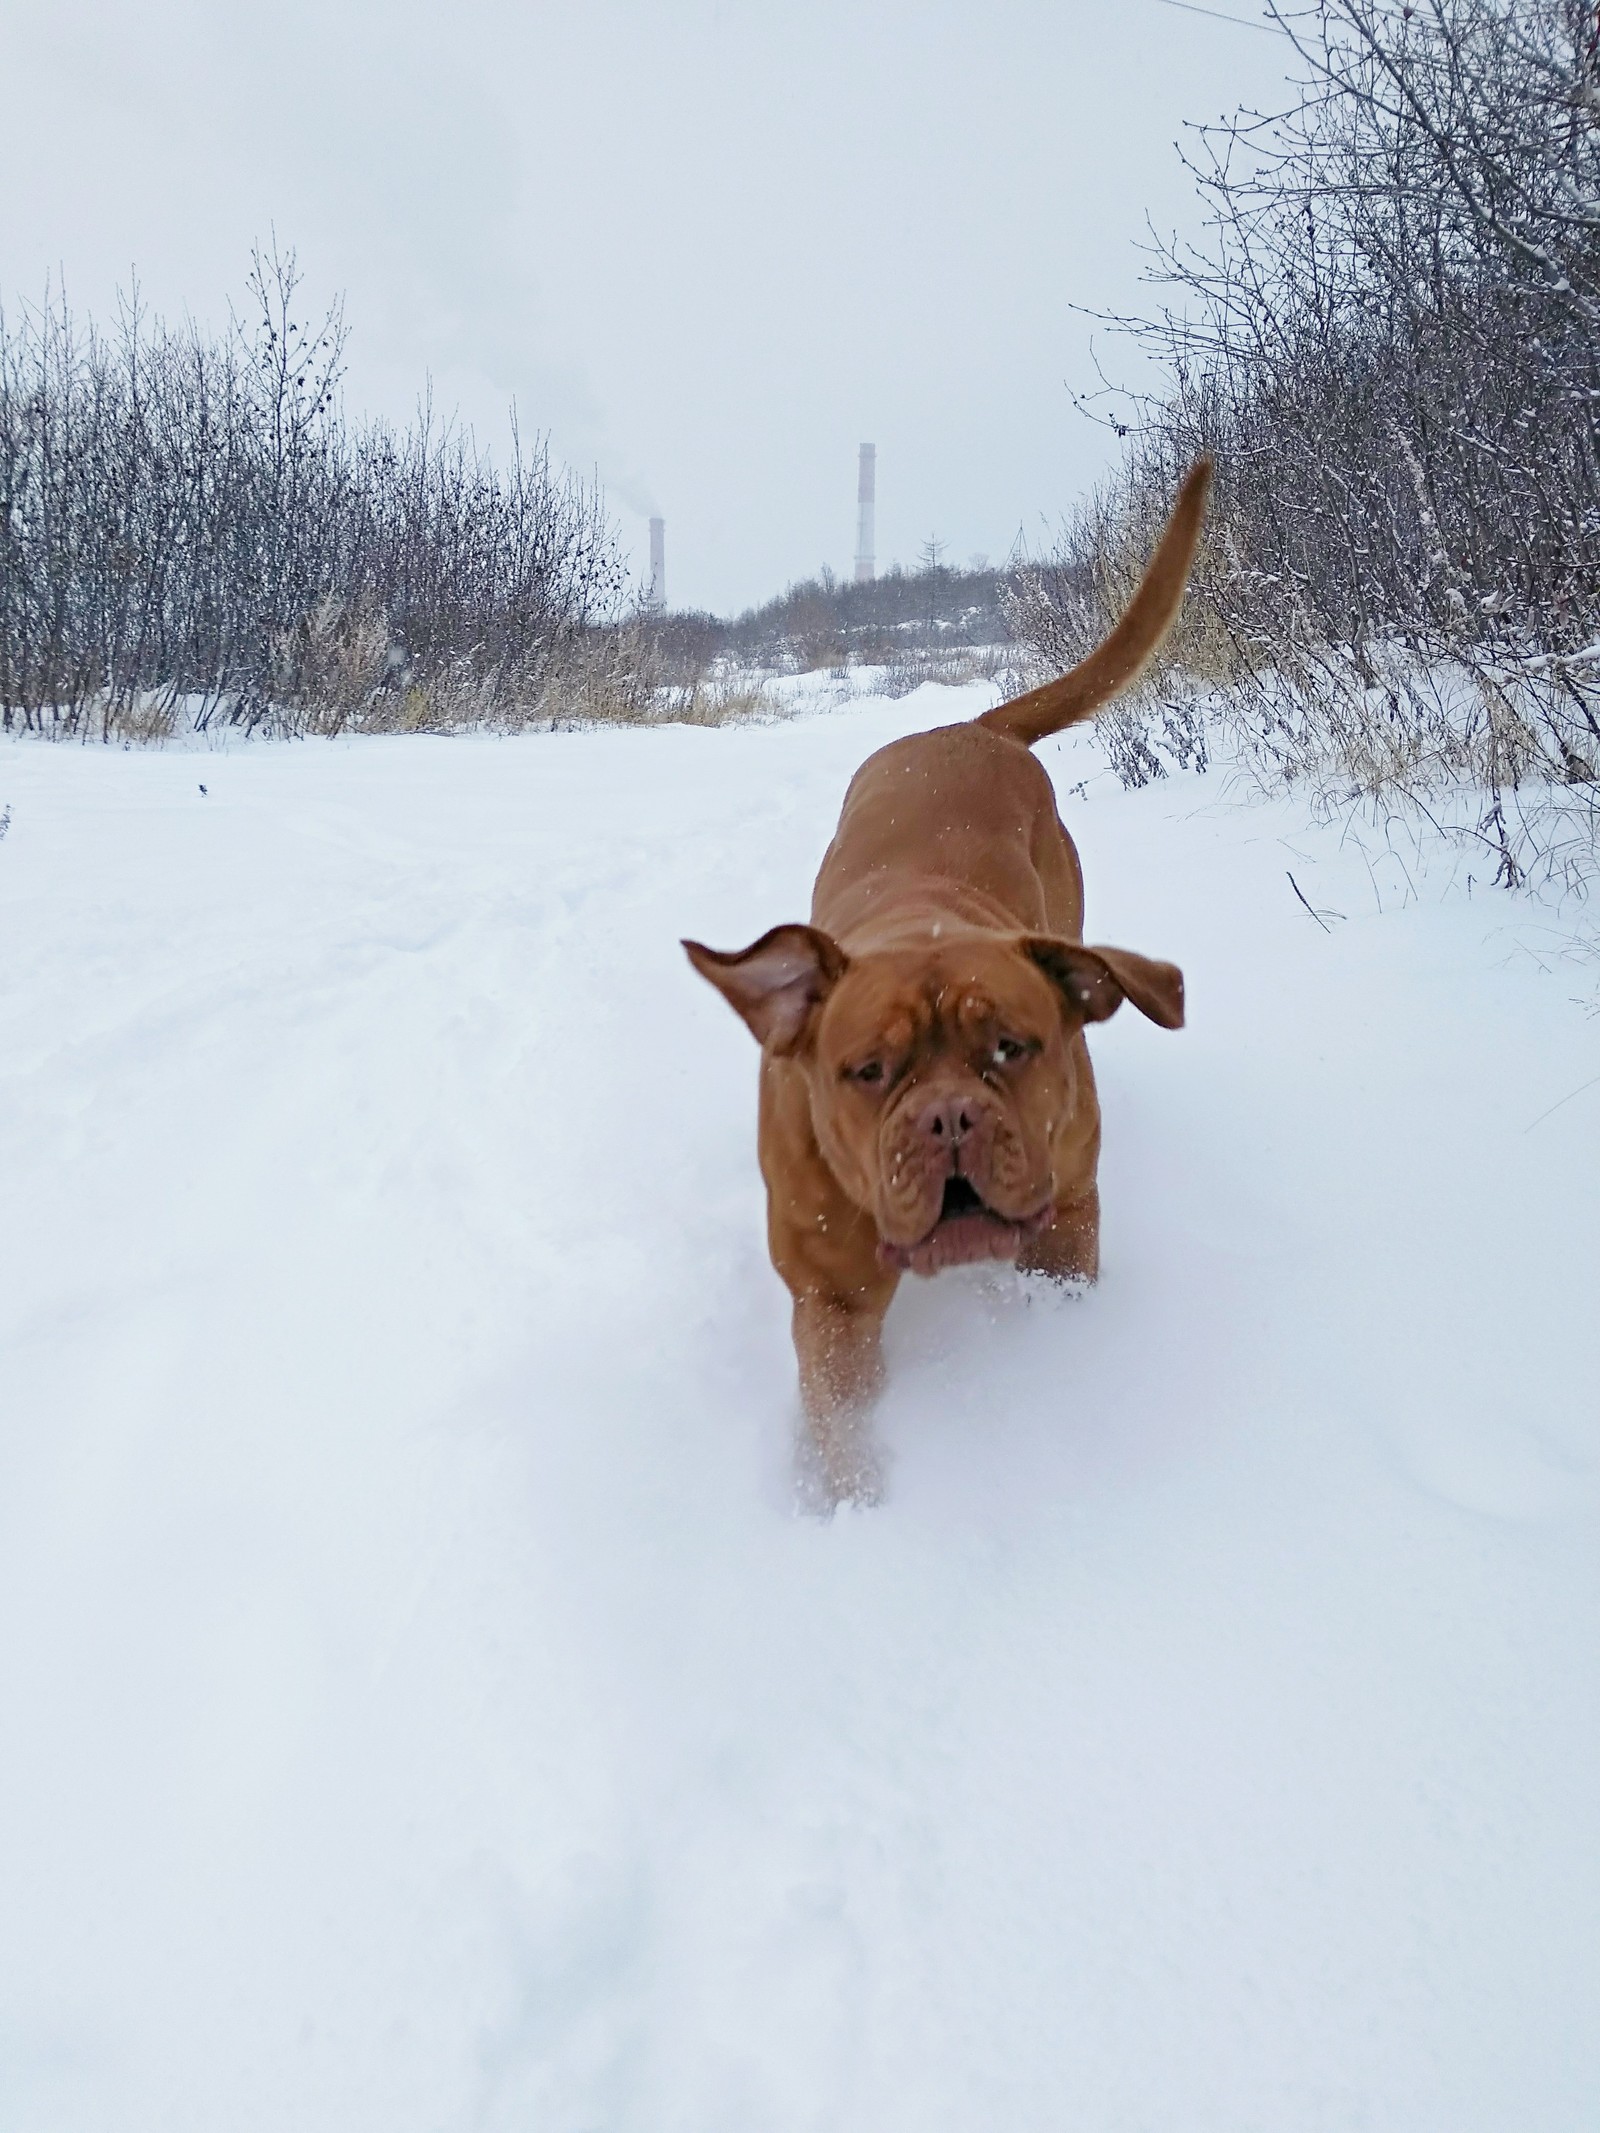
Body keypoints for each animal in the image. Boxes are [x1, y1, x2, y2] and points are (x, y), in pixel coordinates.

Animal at [682, 467, 1211, 1501]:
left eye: (1012, 1046)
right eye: (868, 1071)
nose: (950, 1118)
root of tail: (966, 726)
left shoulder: (1066, 1228)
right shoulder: (831, 1297)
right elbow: (840, 1424)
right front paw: (849, 1507)